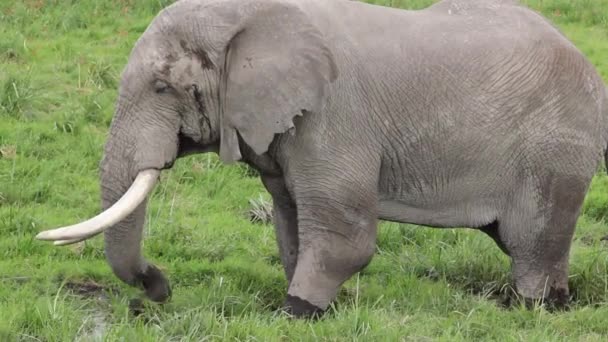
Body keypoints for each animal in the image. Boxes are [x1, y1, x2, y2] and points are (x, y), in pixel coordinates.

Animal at [36, 0, 608, 318]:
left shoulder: (333, 113)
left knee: (531, 240)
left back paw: (531, 308)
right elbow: (290, 217)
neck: (246, 15)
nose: (158, 289)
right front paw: (304, 304)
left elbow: (343, 234)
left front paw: (294, 313)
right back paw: (556, 303)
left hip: (555, 149)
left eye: (162, 87)